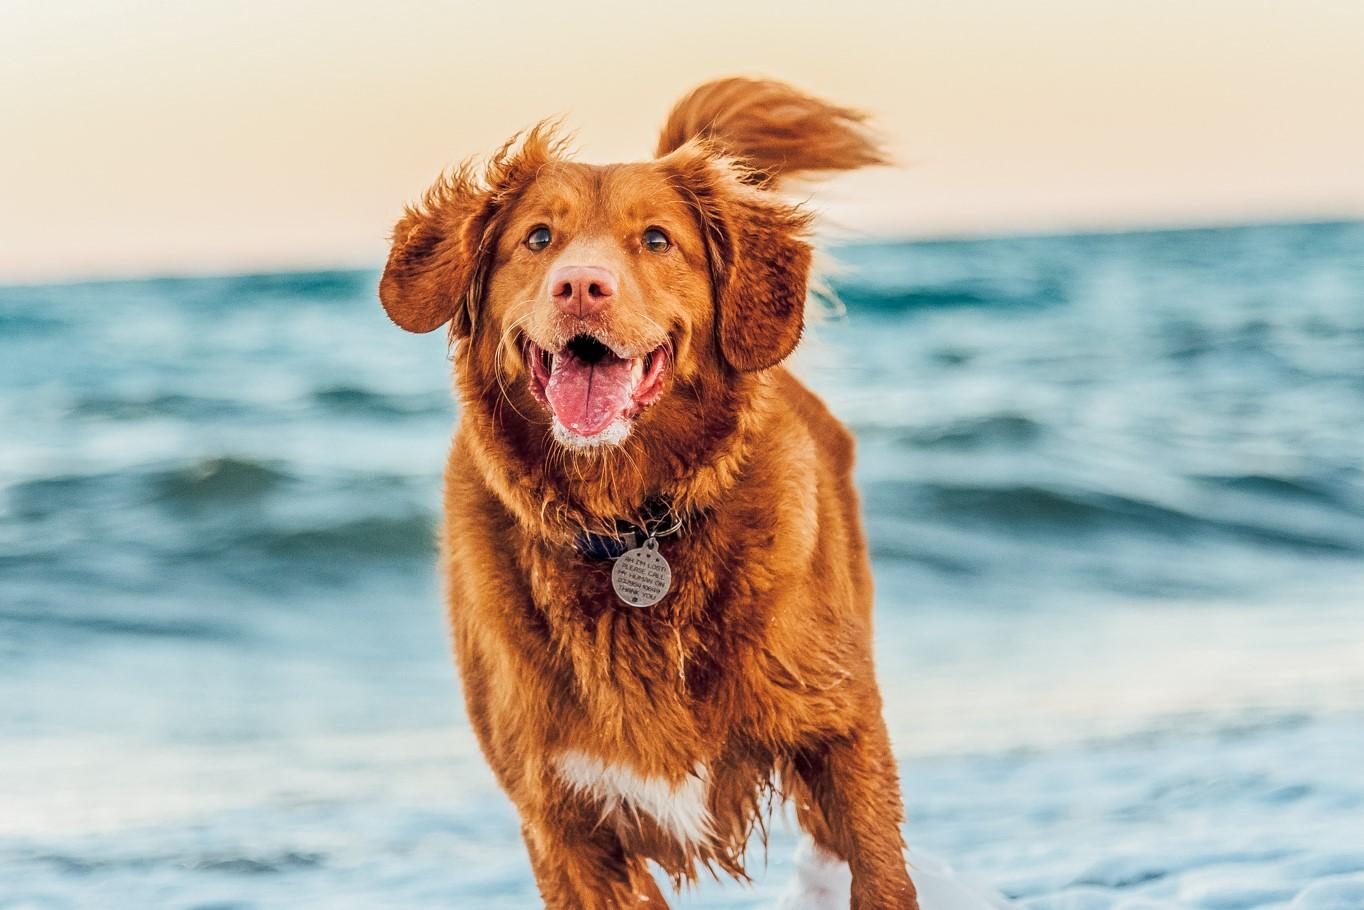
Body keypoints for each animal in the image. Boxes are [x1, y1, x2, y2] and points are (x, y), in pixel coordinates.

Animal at [379, 78, 922, 910]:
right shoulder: (562, 818)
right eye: (539, 238)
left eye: (658, 241)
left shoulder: (841, 735)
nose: (581, 285)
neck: (630, 522)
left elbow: (882, 877)